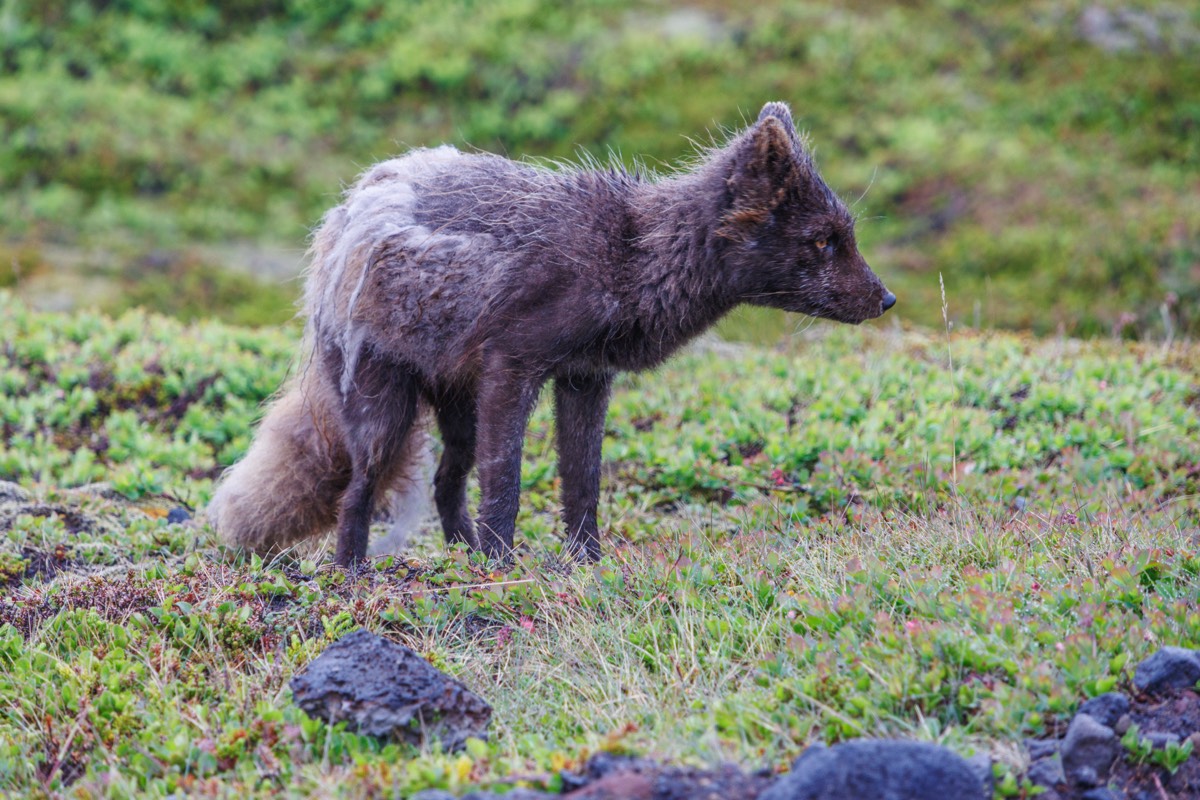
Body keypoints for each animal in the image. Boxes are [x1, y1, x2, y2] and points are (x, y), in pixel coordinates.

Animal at [208, 101, 895, 567]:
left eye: (847, 234)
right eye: (823, 241)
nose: (887, 299)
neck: (628, 257)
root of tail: (344, 214)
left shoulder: (586, 377)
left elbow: (582, 483)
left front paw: (584, 564)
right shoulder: (514, 369)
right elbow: (507, 485)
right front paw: (502, 569)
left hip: (457, 413)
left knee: (445, 483)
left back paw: (460, 558)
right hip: (389, 413)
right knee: (358, 493)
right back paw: (355, 574)